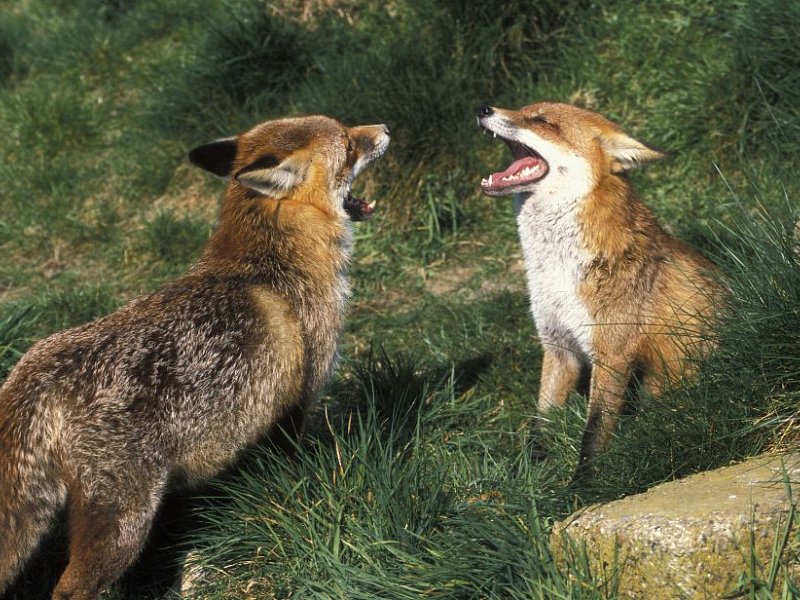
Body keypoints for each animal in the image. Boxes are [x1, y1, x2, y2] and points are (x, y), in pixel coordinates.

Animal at [0, 114, 390, 599]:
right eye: (349, 144)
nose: (385, 128)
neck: (274, 263)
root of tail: (36, 368)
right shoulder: (295, 402)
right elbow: (294, 467)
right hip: (123, 523)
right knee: (70, 589)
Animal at [476, 102, 722, 476]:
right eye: (523, 109)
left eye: (542, 121)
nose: (482, 107)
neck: (558, 272)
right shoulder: (558, 346)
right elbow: (541, 424)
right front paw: (528, 473)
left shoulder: (611, 352)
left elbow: (594, 432)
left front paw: (583, 485)